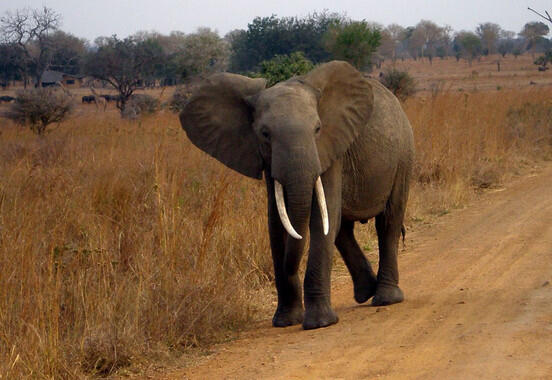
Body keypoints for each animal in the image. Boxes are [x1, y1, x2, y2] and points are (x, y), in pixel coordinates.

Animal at [180, 60, 414, 330]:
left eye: (318, 128)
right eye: (265, 134)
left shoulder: (330, 149)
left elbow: (319, 221)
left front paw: (320, 323)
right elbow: (277, 223)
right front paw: (286, 321)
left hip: (403, 155)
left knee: (387, 222)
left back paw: (385, 299)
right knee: (342, 229)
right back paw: (366, 292)